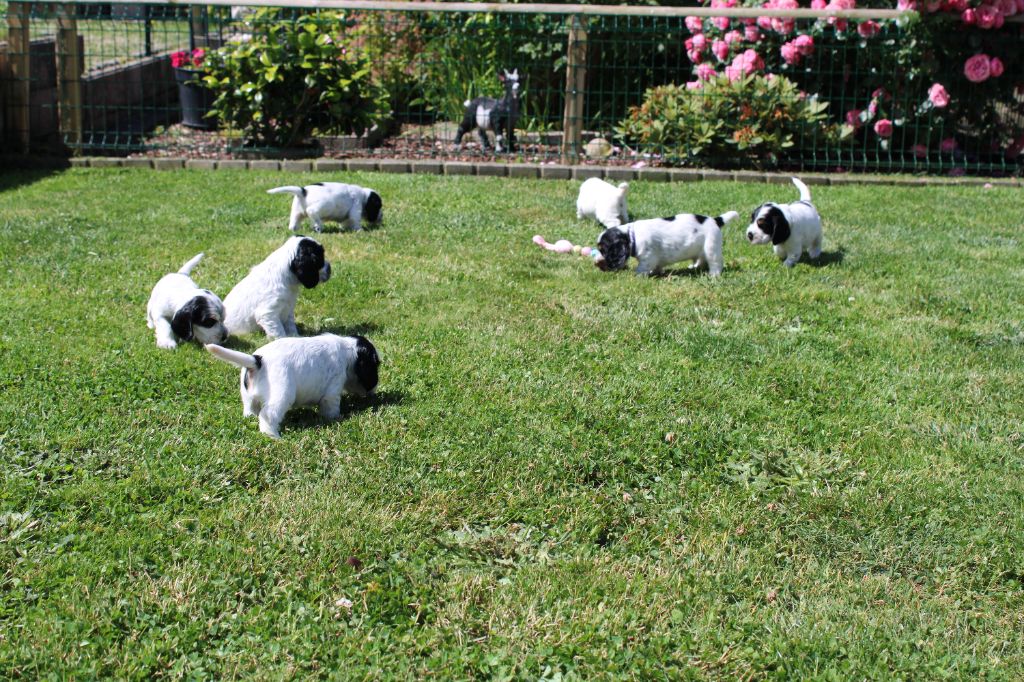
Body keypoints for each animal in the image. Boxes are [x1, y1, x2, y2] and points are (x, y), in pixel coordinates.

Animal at [206, 333, 380, 438]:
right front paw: (337, 418)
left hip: (248, 397)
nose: (374, 389)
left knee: (250, 409)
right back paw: (273, 436)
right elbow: (331, 409)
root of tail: (258, 360)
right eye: (375, 366)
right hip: (282, 396)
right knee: (267, 415)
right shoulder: (332, 393)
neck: (349, 351)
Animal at [598, 212, 741, 276]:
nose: (602, 265)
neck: (632, 235)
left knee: (715, 263)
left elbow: (642, 268)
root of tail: (715, 220)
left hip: (711, 247)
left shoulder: (648, 257)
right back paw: (694, 267)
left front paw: (637, 276)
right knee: (701, 259)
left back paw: (713, 275)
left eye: (604, 250)